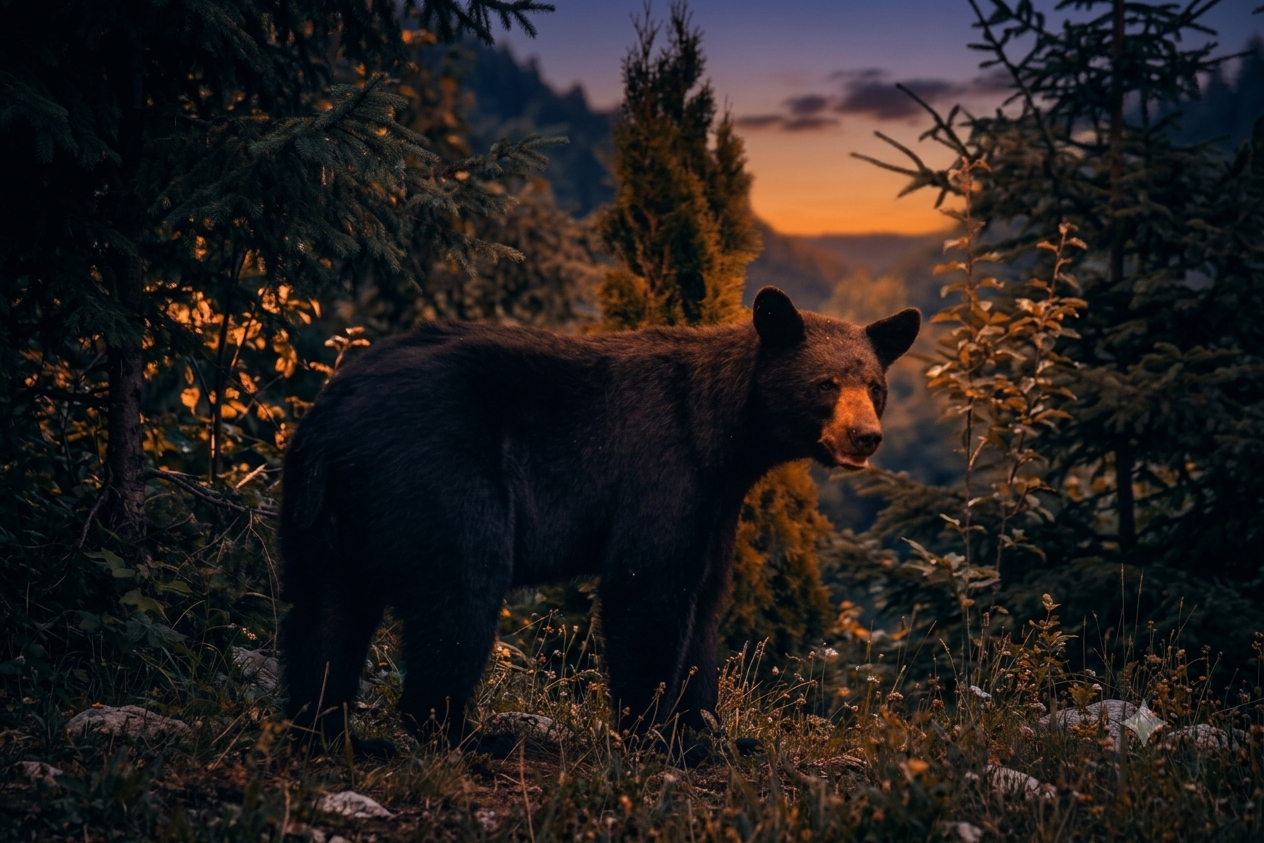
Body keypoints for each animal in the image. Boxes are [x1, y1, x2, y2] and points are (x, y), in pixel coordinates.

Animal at [278, 286, 919, 760]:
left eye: (876, 387)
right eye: (826, 384)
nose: (864, 436)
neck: (723, 436)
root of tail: (332, 418)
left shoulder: (716, 503)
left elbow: (706, 600)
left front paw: (713, 734)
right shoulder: (663, 465)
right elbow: (647, 587)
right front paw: (655, 737)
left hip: (323, 517)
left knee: (324, 613)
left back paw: (331, 734)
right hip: (443, 473)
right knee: (464, 586)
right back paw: (473, 735)